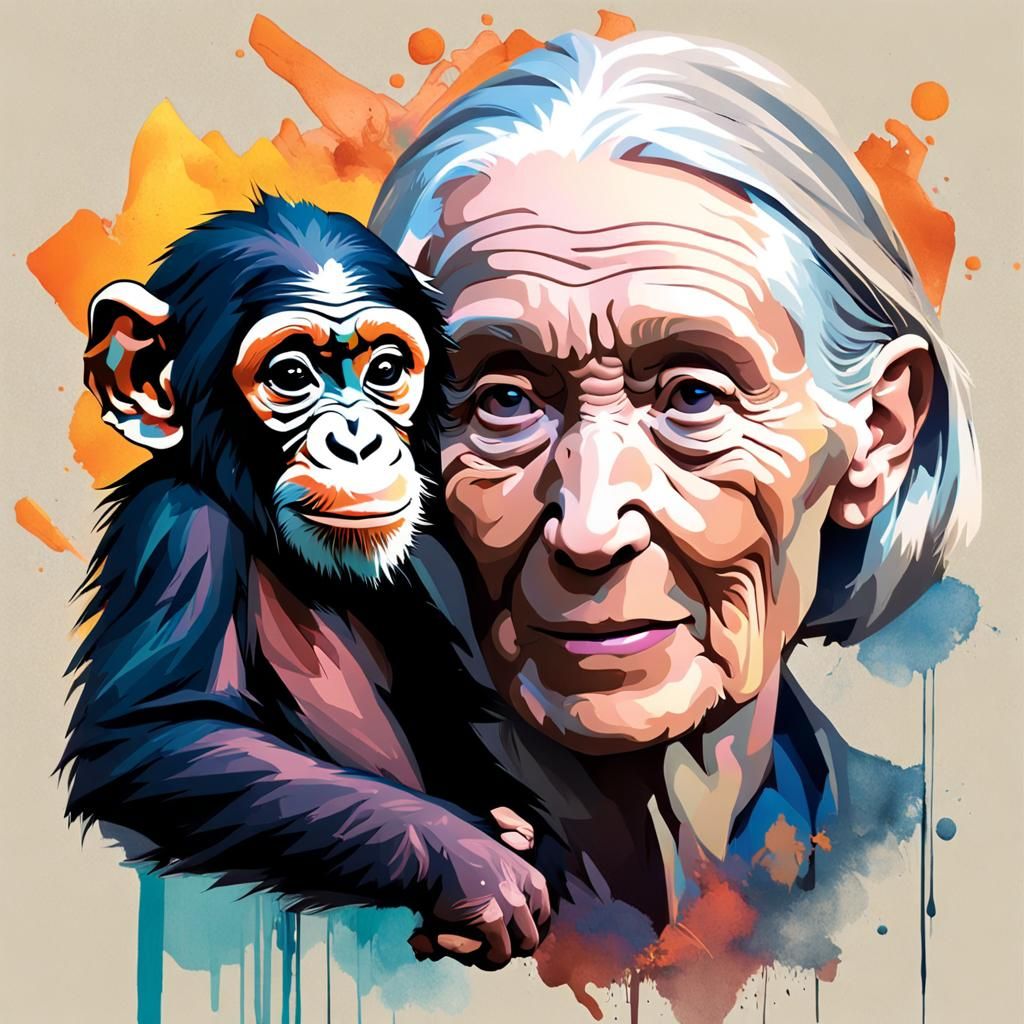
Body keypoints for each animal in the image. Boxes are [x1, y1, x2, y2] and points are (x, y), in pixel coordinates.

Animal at [60, 194, 551, 969]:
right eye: (291, 378)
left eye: (386, 369)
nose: (358, 440)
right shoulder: (177, 533)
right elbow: (159, 734)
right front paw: (479, 868)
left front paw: (503, 824)